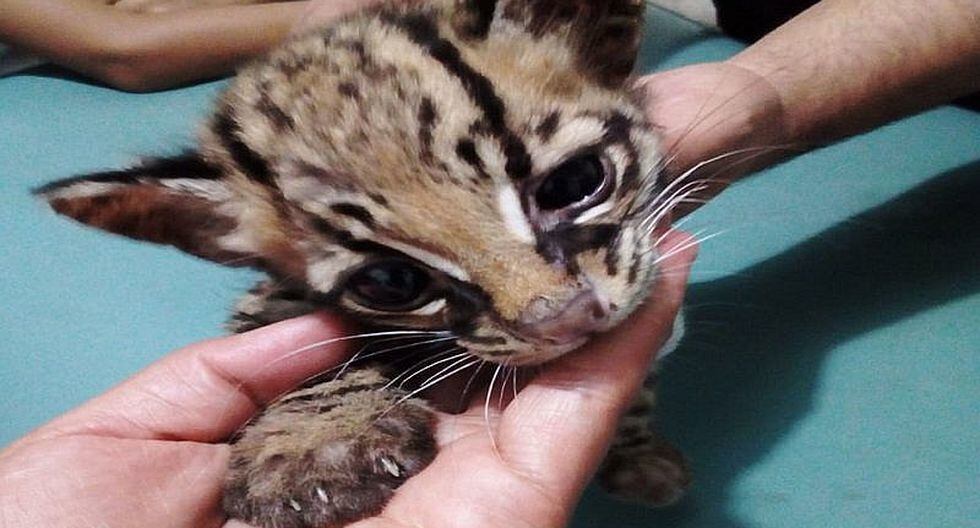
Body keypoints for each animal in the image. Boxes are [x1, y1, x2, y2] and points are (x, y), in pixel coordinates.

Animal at [36, 1, 695, 526]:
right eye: (392, 281)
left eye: (575, 183)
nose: (564, 318)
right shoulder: (276, 295)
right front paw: (313, 445)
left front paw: (637, 453)